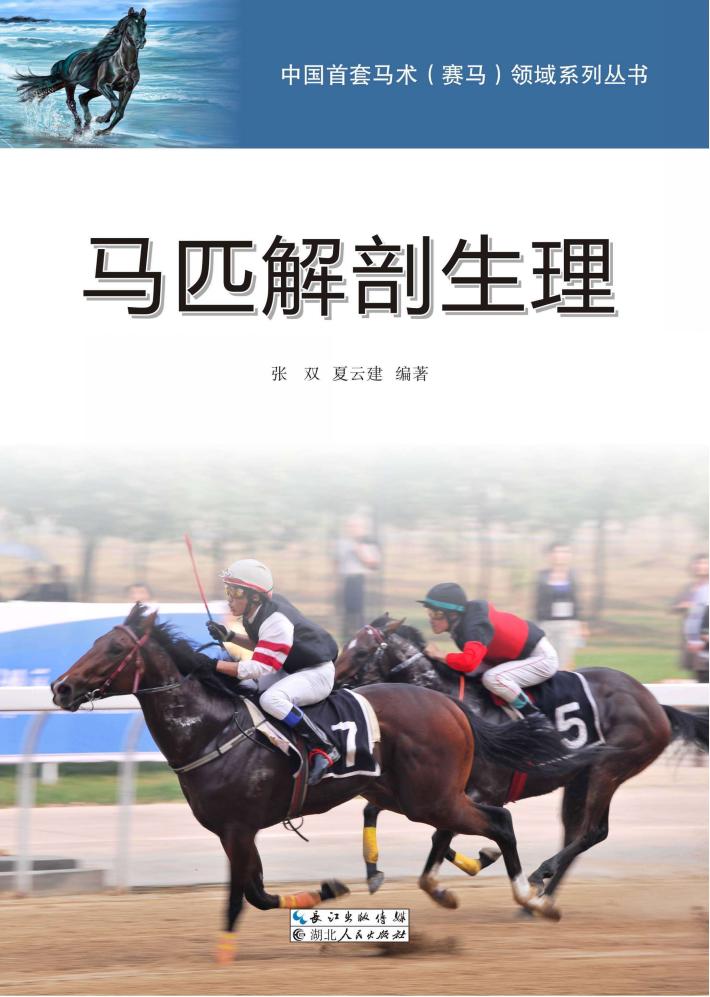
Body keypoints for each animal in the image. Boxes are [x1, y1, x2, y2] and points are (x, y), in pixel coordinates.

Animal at [14, 8, 146, 135]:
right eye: (130, 25)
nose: (140, 41)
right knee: (71, 102)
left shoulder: (127, 89)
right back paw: (79, 127)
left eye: (144, 24)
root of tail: (66, 60)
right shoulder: (104, 86)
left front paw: (102, 130)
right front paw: (101, 120)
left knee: (83, 98)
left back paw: (86, 125)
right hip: (72, 84)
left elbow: (120, 112)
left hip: (94, 89)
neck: (125, 66)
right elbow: (116, 104)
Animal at [50, 606, 609, 959]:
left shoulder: (238, 828)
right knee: (483, 824)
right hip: (407, 795)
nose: (61, 687)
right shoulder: (236, 832)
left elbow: (243, 896)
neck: (211, 727)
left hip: (433, 797)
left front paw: (228, 953)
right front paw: (328, 889)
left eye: (114, 648)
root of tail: (452, 706)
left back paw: (531, 897)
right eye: (95, 642)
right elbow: (255, 891)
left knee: (501, 821)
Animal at [335, 615, 709, 905]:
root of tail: (655, 704)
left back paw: (541, 875)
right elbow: (375, 810)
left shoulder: (477, 791)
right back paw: (540, 900)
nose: (335, 682)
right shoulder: (428, 789)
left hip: (609, 769)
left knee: (593, 831)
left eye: (363, 650)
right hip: (581, 778)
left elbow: (443, 833)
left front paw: (474, 863)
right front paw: (374, 871)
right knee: (574, 831)